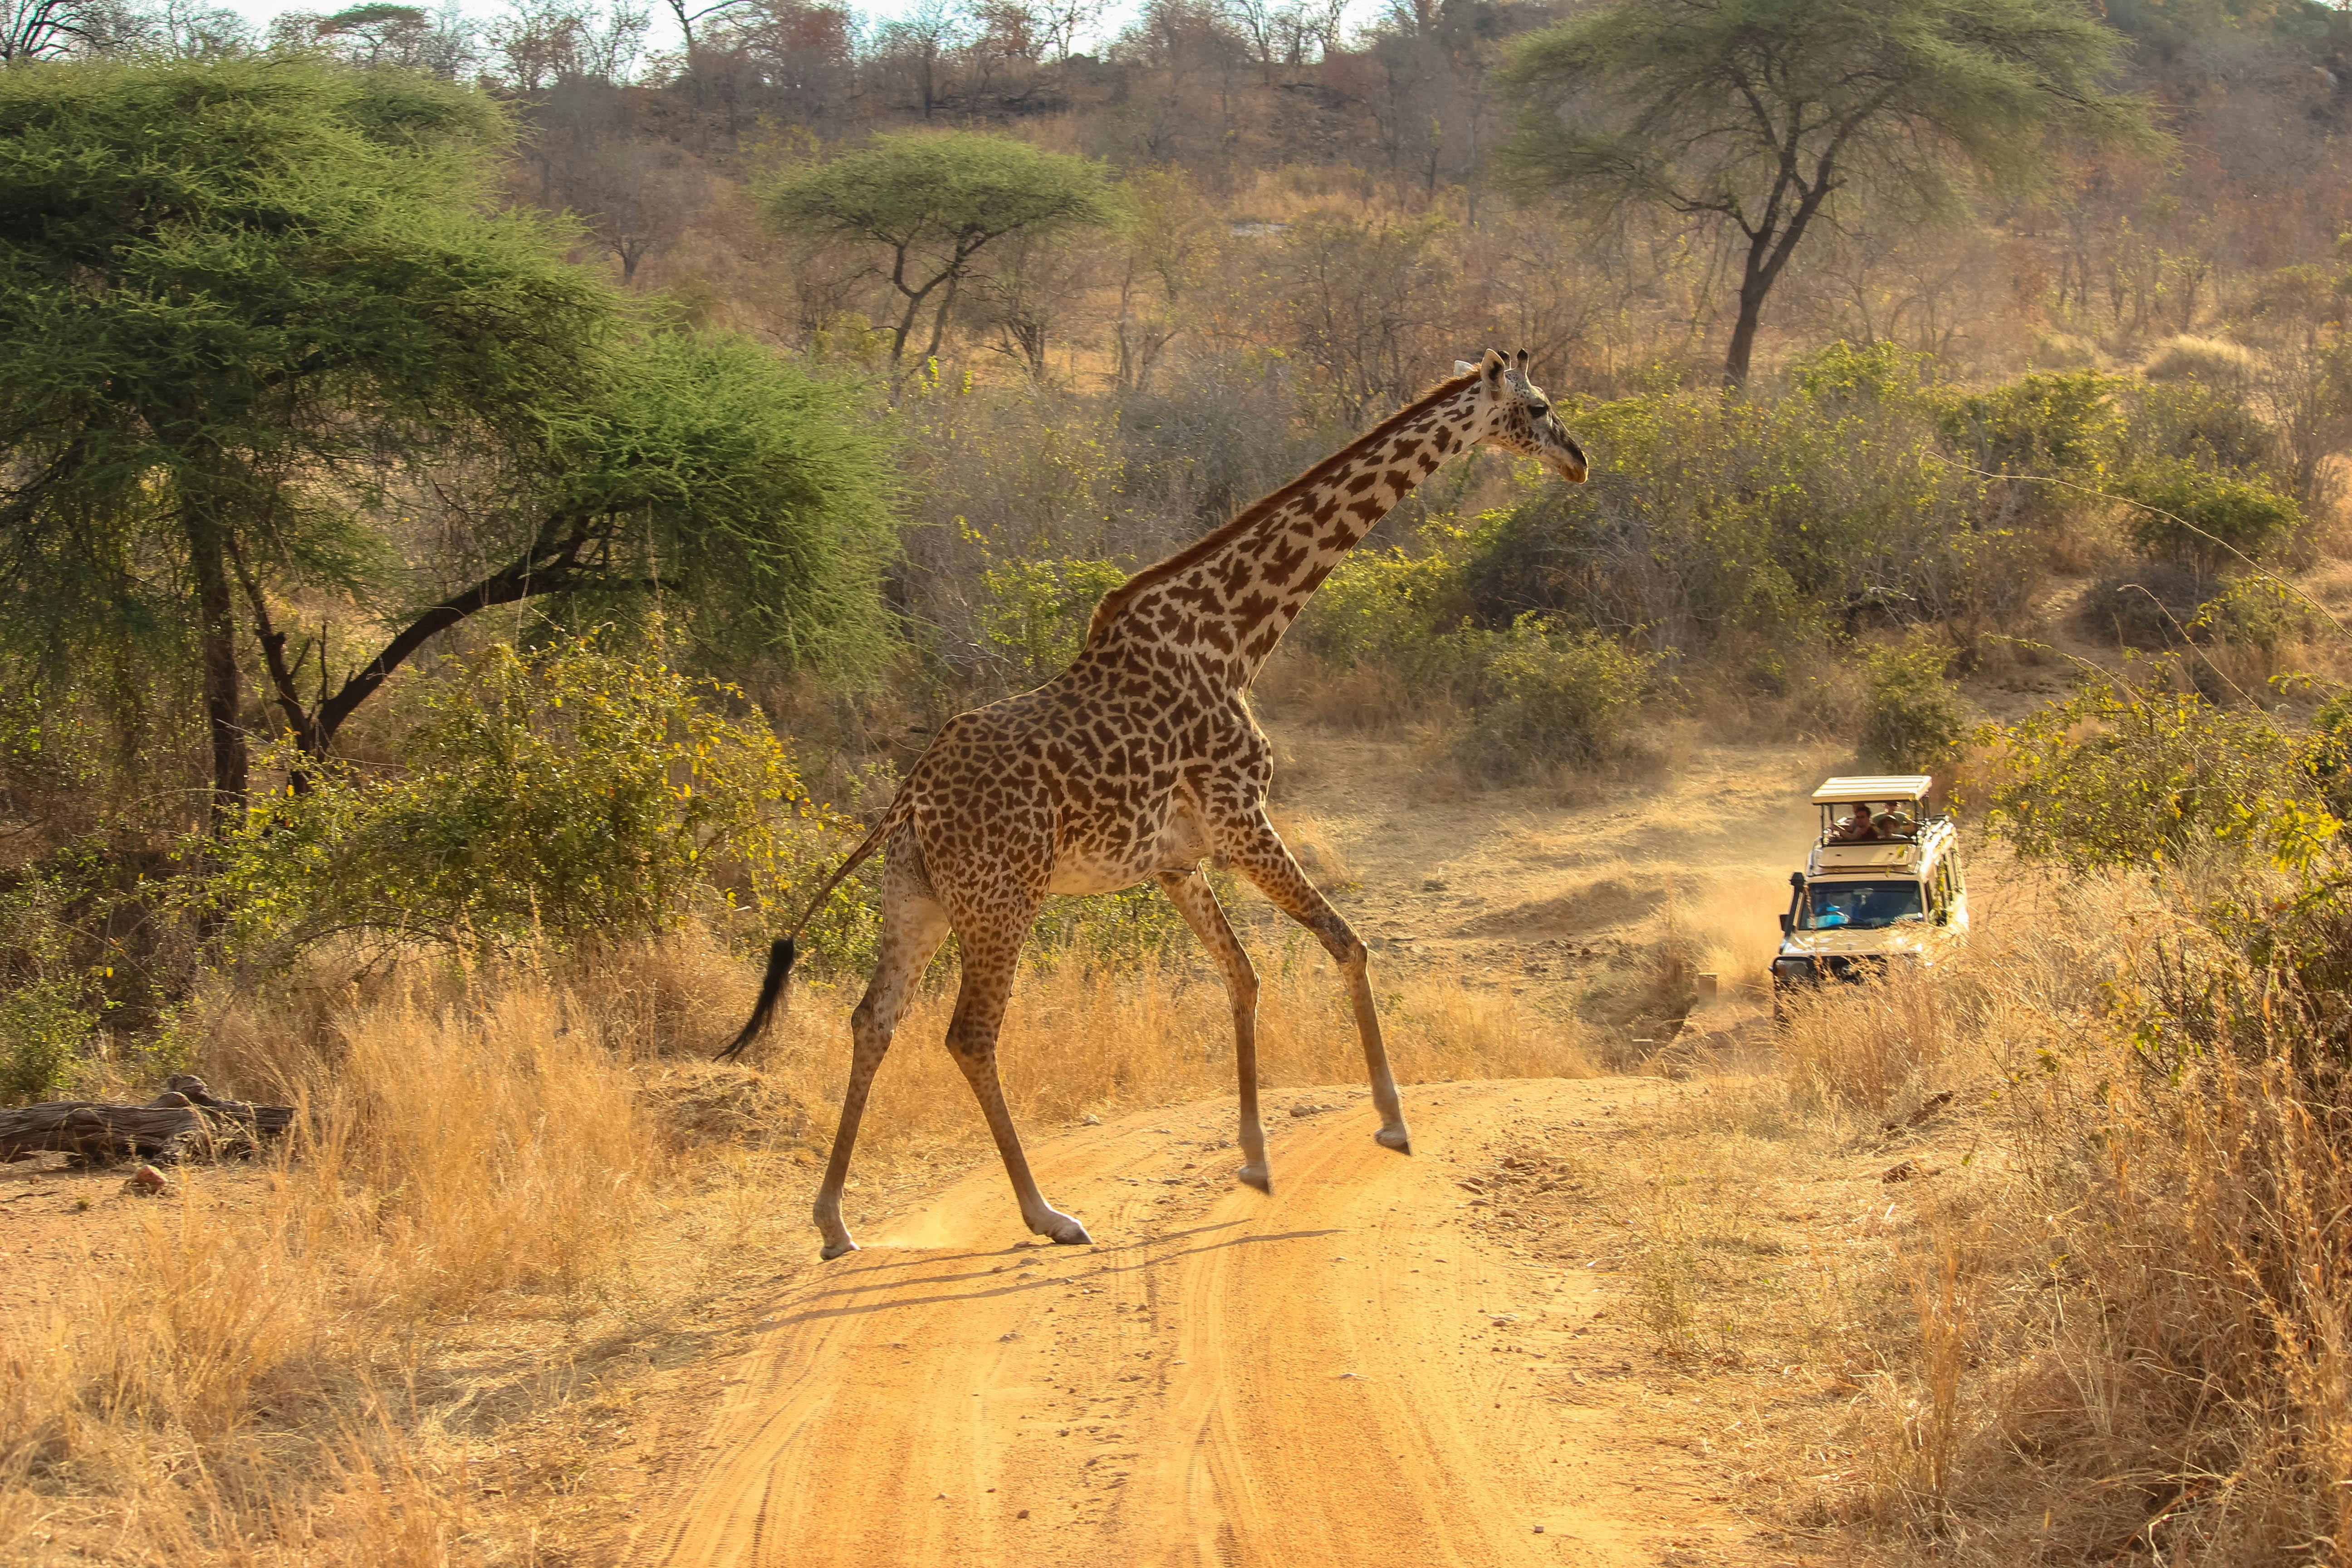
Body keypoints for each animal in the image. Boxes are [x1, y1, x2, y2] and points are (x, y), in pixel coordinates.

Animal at [718, 348, 1588, 1259]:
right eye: (1537, 406)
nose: (1579, 461)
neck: (1236, 637)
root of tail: (910, 795)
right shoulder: (1242, 819)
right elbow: (1346, 945)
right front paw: (1392, 1126)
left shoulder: (1179, 860)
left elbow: (1242, 977)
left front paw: (1255, 1163)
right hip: (1002, 899)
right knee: (969, 1034)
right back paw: (1047, 1214)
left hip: (915, 897)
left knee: (872, 1020)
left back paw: (833, 1221)